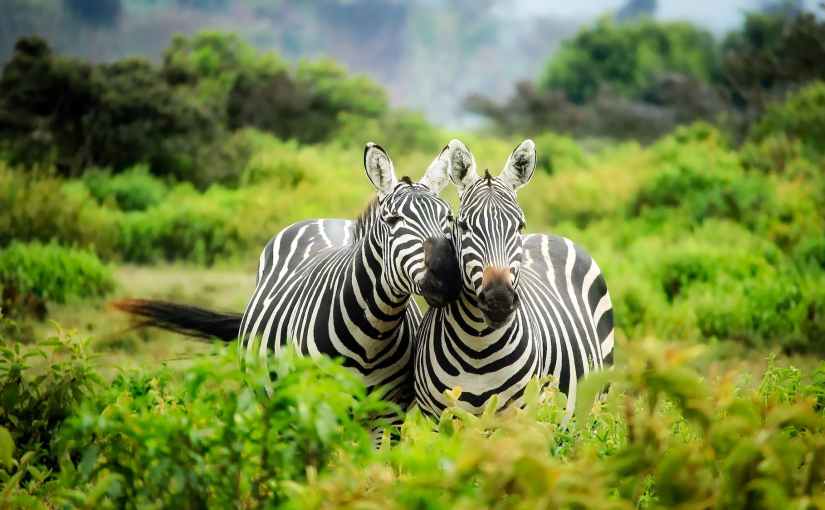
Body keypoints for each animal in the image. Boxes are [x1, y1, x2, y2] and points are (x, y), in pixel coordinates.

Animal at [115, 142, 462, 410]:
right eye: (392, 220)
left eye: (448, 217)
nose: (447, 276)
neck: (373, 333)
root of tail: (324, 219)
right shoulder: (316, 405)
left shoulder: (387, 414)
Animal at [413, 139, 614, 420]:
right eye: (463, 226)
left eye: (520, 226)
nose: (499, 299)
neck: (477, 349)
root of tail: (550, 235)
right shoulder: (435, 419)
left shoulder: (518, 418)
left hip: (597, 400)